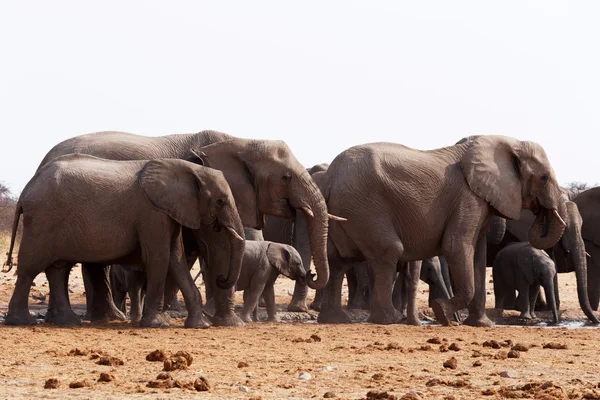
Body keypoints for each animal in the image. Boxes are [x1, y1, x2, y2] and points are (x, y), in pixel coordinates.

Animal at [3, 155, 245, 326]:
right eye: (220, 201)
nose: (221, 278)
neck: (188, 169)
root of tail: (25, 191)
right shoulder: (152, 213)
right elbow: (158, 257)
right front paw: (157, 325)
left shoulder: (169, 211)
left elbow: (175, 258)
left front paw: (200, 325)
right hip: (42, 220)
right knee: (30, 268)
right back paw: (22, 322)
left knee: (57, 268)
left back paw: (68, 322)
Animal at [34, 130, 338, 326]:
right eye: (286, 177)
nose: (310, 274)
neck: (241, 142)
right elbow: (217, 243)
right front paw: (227, 321)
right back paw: (106, 318)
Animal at [316, 136, 568, 326]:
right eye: (544, 177)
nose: (541, 211)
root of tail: (330, 177)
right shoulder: (468, 197)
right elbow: (456, 246)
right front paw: (441, 313)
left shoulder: (480, 200)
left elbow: (478, 255)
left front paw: (481, 324)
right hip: (364, 207)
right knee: (389, 251)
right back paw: (389, 320)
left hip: (347, 210)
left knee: (338, 260)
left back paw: (334, 319)